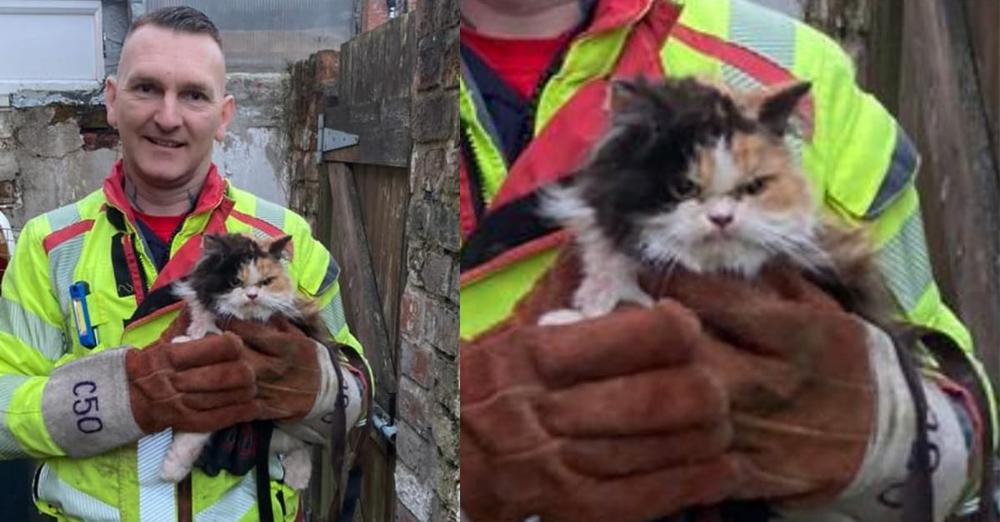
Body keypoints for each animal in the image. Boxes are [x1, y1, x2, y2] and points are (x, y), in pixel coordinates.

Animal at [160, 232, 318, 488]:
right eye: (235, 282)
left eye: (266, 282)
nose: (252, 295)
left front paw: (171, 470)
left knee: (300, 445)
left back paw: (298, 478)